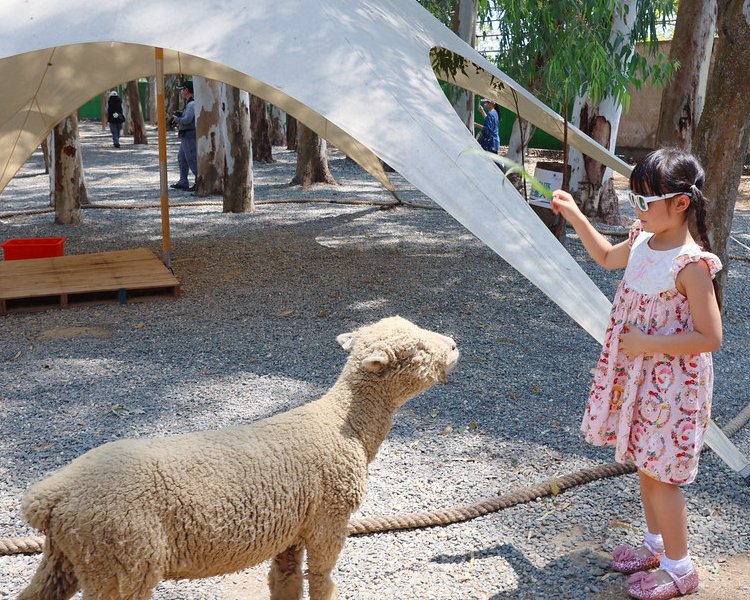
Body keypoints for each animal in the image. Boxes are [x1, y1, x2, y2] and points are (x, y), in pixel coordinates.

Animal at [17, 314, 462, 600]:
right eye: (416, 350)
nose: (456, 345)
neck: (344, 424)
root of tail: (51, 497)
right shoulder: (329, 519)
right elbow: (321, 580)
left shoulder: (292, 529)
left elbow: (285, 580)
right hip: (121, 561)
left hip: (68, 558)